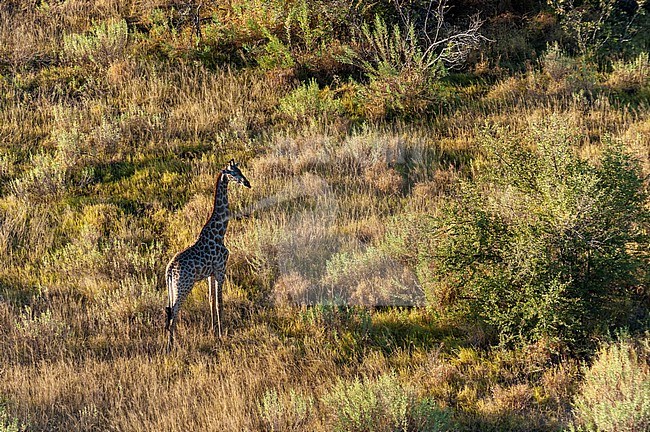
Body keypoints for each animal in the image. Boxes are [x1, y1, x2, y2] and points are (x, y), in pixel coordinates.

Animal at [165, 159, 251, 352]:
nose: (247, 183)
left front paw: (213, 331)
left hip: (173, 288)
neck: (220, 233)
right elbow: (219, 302)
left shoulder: (210, 274)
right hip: (183, 286)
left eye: (241, 170)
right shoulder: (221, 270)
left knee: (168, 311)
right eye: (234, 173)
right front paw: (222, 333)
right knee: (173, 313)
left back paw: (170, 343)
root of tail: (169, 271)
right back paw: (171, 346)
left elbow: (211, 301)